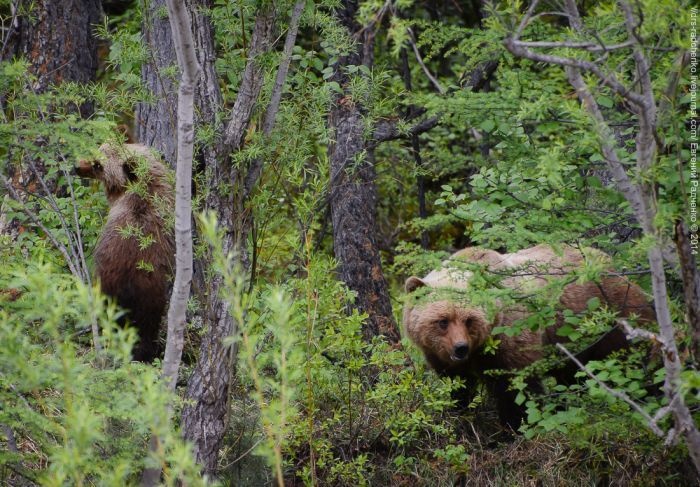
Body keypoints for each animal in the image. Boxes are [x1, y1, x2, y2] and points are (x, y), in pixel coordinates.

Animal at [404, 246, 656, 428]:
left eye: (469, 320)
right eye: (443, 321)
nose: (460, 348)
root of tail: (610, 262)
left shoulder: (510, 339)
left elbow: (517, 389)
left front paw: (514, 429)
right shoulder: (441, 357)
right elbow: (457, 388)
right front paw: (460, 416)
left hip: (614, 314)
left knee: (632, 361)